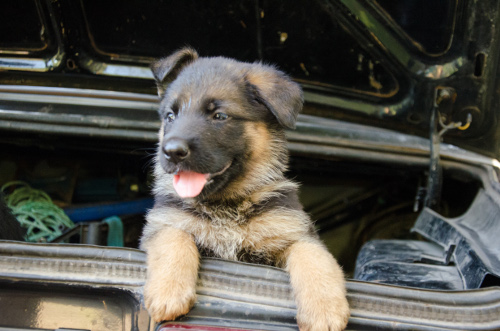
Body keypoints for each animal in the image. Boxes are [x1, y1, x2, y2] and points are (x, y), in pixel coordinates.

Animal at [141, 48, 350, 331]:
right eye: (170, 116)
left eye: (219, 116)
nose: (171, 152)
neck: (227, 205)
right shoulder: (164, 222)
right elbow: (174, 238)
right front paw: (168, 291)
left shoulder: (296, 234)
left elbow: (314, 258)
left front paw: (325, 310)